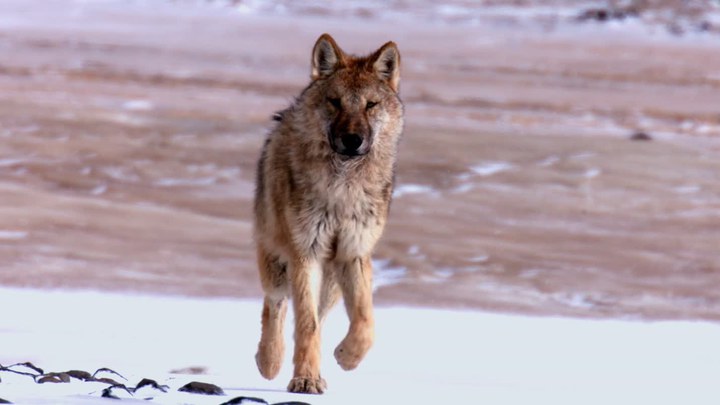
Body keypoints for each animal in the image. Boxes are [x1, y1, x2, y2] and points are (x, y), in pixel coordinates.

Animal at [253, 33, 402, 392]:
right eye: (335, 102)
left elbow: (365, 321)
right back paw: (270, 361)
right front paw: (304, 379)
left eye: (370, 105)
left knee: (316, 316)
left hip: (331, 280)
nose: (352, 139)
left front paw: (347, 356)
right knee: (276, 306)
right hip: (279, 265)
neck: (342, 187)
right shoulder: (304, 253)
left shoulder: (353, 253)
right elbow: (305, 324)